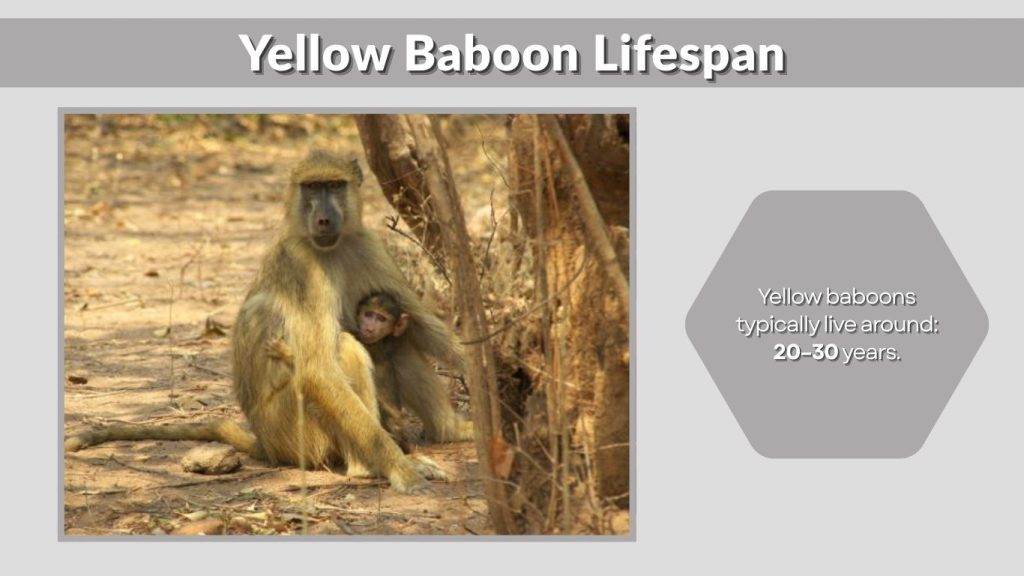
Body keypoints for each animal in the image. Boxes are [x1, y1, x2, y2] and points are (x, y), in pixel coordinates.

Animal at [66, 150, 458, 494]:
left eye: (334, 185)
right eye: (311, 187)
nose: (324, 220)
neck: (327, 247)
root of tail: (266, 444)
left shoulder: (366, 243)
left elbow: (422, 324)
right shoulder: (301, 266)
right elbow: (318, 370)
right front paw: (400, 469)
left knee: (398, 344)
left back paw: (453, 432)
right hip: (292, 432)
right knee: (346, 348)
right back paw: (365, 467)